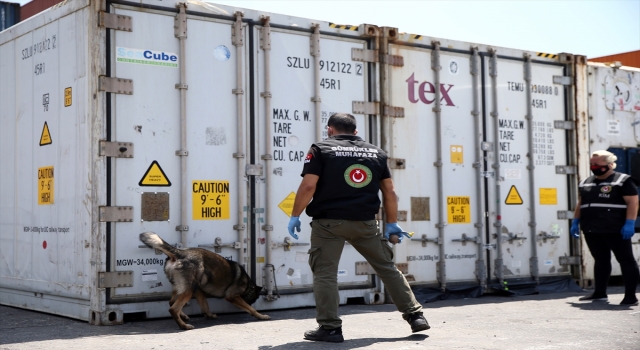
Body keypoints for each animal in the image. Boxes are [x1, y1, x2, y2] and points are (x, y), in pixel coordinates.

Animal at [140, 231, 270, 330]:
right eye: (255, 298)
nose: (253, 301)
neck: (248, 285)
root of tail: (179, 252)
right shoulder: (232, 296)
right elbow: (251, 309)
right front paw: (261, 316)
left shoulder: (199, 291)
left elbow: (205, 305)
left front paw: (209, 315)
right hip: (189, 290)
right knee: (173, 308)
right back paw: (184, 326)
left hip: (180, 287)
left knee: (172, 302)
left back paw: (184, 317)